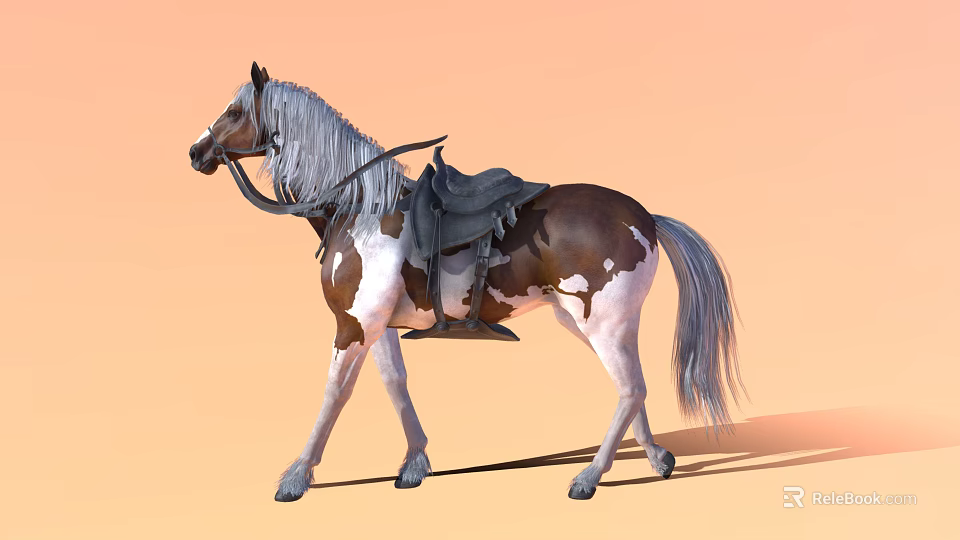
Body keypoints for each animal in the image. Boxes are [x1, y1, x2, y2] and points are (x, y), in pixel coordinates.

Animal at [188, 62, 744, 502]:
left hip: (602, 324)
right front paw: (414, 463)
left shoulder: (353, 325)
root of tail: (645, 216)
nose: (196, 152)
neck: (360, 207)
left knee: (630, 389)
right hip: (593, 323)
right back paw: (656, 457)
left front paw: (297, 476)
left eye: (235, 112)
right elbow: (394, 383)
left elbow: (334, 394)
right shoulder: (378, 326)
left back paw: (589, 476)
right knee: (634, 388)